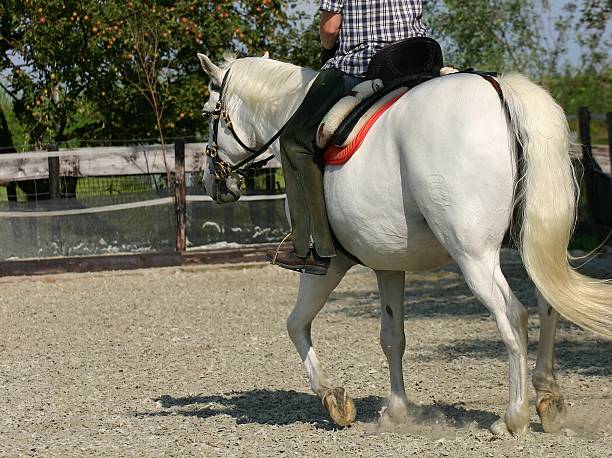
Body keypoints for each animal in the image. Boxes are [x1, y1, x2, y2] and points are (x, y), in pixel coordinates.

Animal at [196, 52, 612, 434]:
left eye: (206, 114)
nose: (212, 182)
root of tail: (498, 89)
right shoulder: (388, 264)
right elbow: (392, 337)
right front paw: (396, 411)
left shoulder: (328, 264)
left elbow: (296, 324)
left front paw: (334, 398)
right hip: (526, 245)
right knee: (548, 306)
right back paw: (548, 399)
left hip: (474, 256)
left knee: (513, 315)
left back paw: (513, 416)